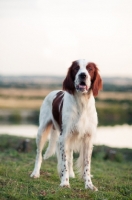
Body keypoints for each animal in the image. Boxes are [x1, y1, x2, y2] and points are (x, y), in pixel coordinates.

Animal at [30, 58, 102, 190]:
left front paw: (89, 184)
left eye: (90, 69)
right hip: (42, 131)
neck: (82, 103)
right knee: (39, 155)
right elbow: (64, 162)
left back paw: (71, 174)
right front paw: (64, 182)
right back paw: (35, 173)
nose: (82, 75)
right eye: (76, 68)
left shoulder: (88, 138)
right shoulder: (65, 136)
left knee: (70, 157)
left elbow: (86, 165)